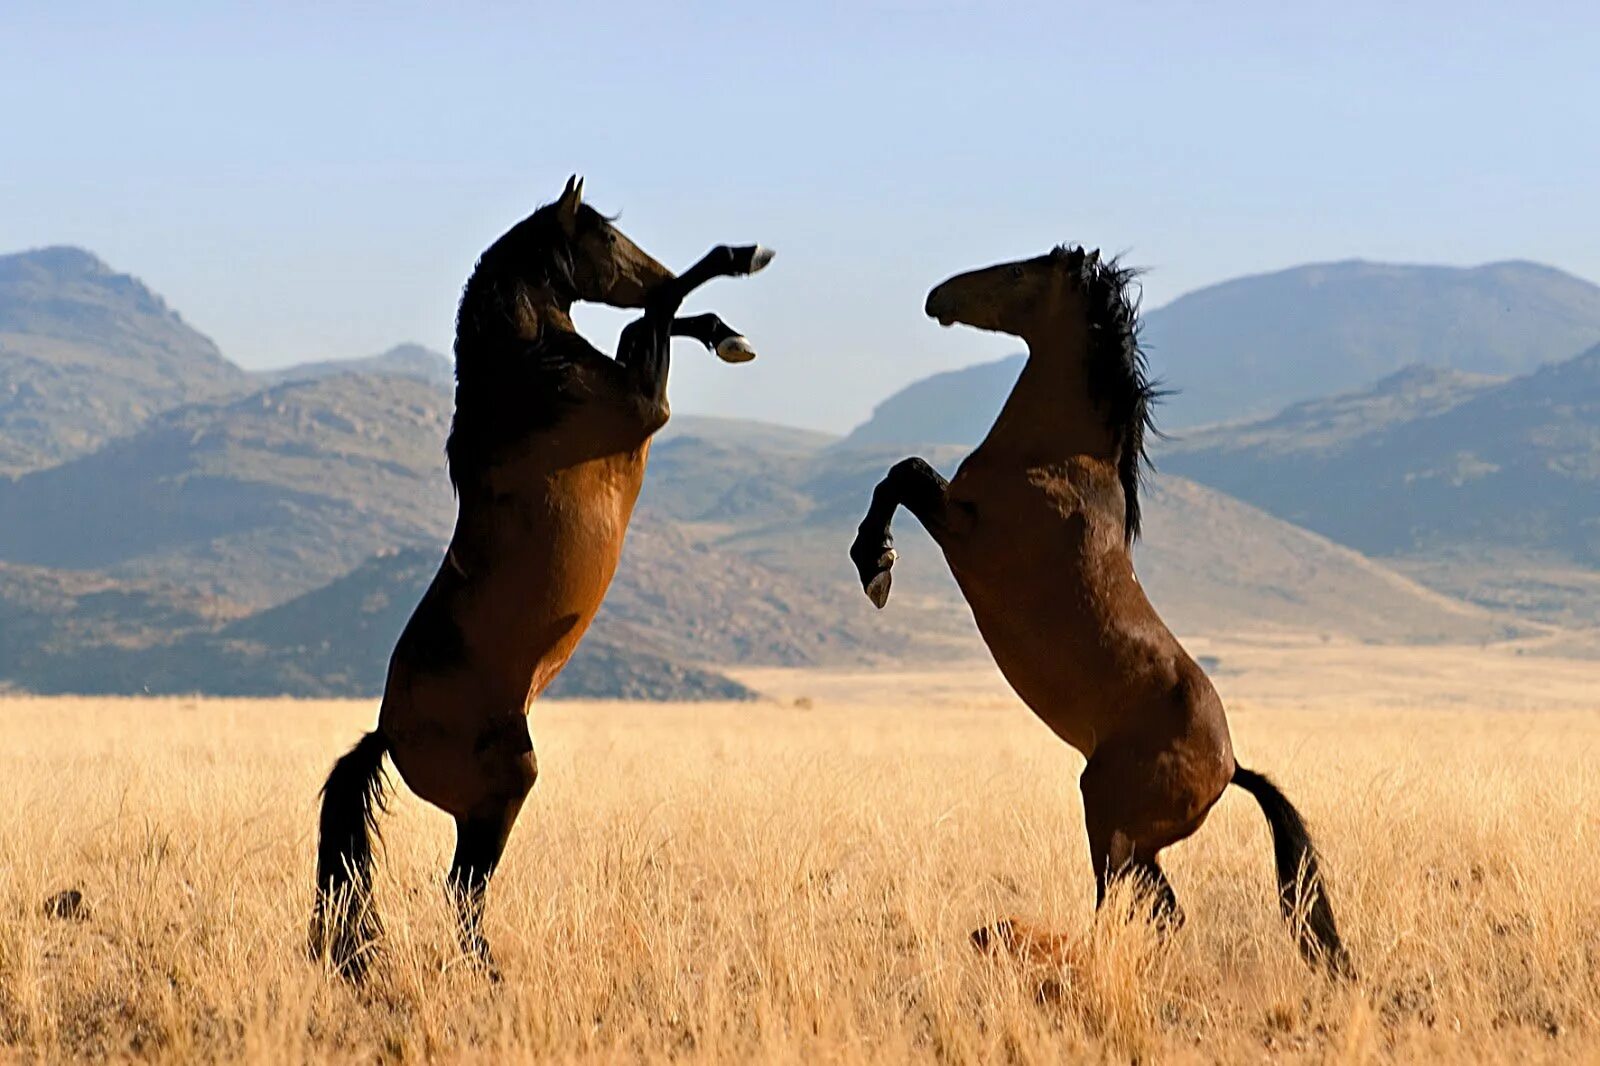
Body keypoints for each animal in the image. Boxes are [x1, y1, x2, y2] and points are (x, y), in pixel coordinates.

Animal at [310, 176, 774, 979]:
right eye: (605, 237)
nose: (647, 266)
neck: (532, 376)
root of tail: (386, 733)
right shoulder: (645, 404)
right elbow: (659, 311)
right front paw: (741, 259)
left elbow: (653, 319)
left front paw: (726, 332)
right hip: (503, 790)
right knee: (462, 888)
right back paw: (490, 971)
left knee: (461, 888)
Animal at [851, 243, 1350, 973]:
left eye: (1018, 273)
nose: (938, 297)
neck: (1056, 460)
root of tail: (1231, 769)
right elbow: (899, 472)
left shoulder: (966, 532)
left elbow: (905, 472)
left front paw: (875, 566)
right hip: (1134, 841)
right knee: (1161, 911)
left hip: (1109, 819)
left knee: (1127, 907)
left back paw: (1020, 941)